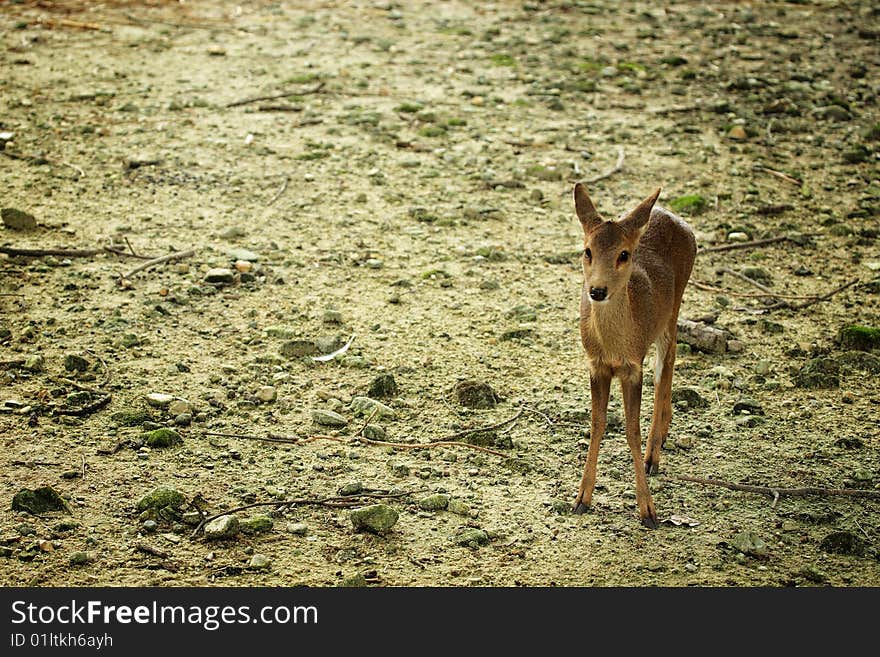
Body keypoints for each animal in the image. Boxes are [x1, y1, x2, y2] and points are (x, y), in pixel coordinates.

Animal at [576, 183, 696, 528]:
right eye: (587, 250)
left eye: (624, 254)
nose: (597, 290)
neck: (614, 345)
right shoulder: (596, 366)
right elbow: (597, 423)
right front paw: (581, 498)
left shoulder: (632, 368)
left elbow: (632, 430)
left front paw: (648, 511)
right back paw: (665, 431)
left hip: (674, 307)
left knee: (667, 362)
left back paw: (654, 454)